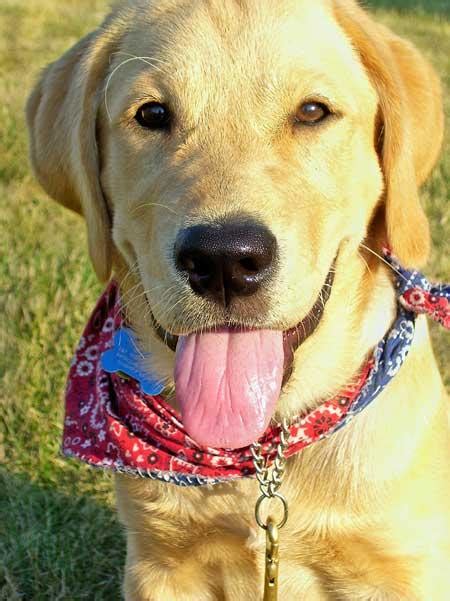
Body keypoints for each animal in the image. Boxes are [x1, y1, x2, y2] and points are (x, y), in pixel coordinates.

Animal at [26, 1, 448, 600]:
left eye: (312, 112)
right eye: (152, 114)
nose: (224, 260)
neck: (262, 454)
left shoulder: (405, 567)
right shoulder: (159, 565)